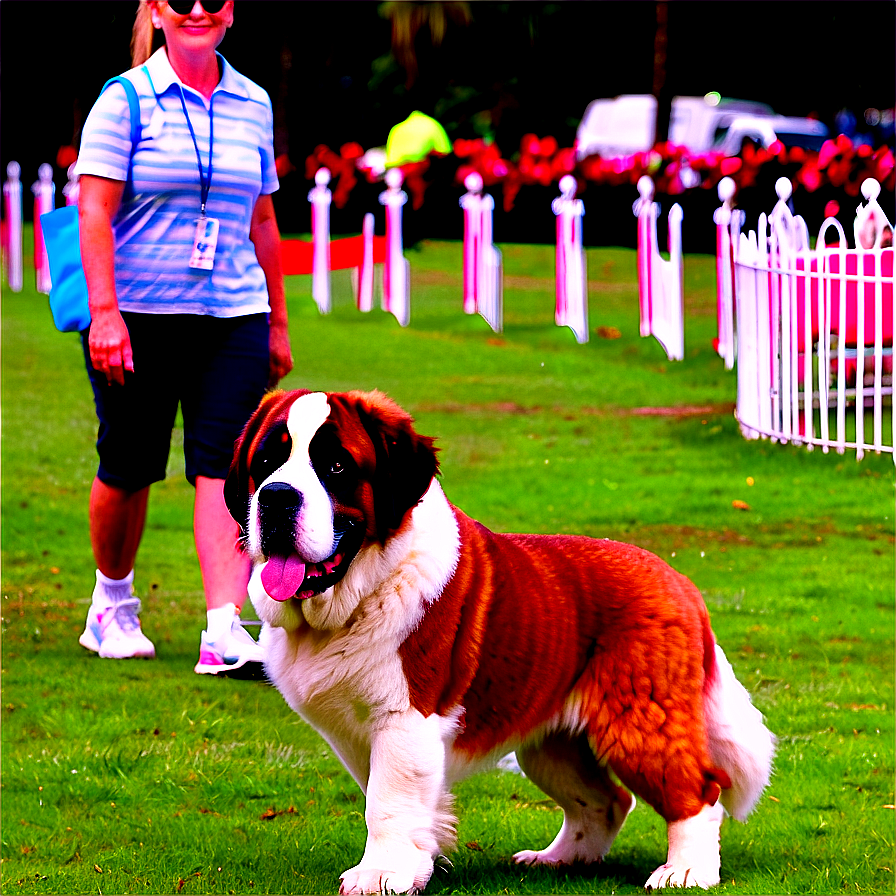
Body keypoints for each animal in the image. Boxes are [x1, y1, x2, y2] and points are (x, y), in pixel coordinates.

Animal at [226, 390, 776, 896]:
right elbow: (393, 798)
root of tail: (677, 580)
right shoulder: (361, 733)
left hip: (638, 722)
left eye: (336, 466)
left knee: (699, 792)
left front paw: (381, 875)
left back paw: (687, 871)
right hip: (553, 743)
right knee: (607, 801)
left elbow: (387, 800)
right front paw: (418, 864)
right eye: (266, 464)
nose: (276, 497)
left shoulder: (405, 718)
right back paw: (561, 860)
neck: (359, 590)